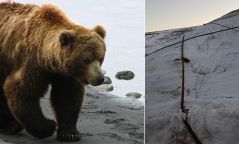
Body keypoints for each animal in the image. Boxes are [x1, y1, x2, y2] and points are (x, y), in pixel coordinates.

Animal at [0, 1, 105, 142]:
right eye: (86, 60)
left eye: (100, 57)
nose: (100, 78)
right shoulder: (31, 63)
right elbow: (22, 91)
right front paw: (48, 126)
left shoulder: (64, 73)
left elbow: (67, 97)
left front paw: (70, 133)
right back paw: (10, 126)